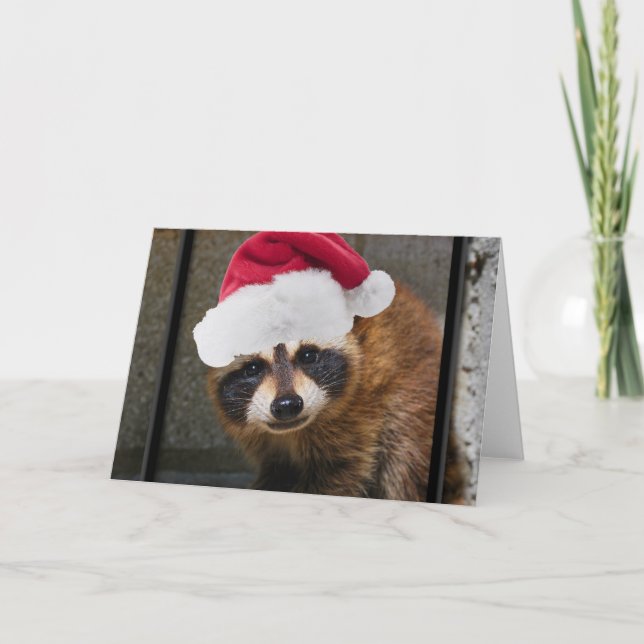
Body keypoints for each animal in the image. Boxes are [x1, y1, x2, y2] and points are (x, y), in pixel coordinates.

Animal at [206, 282, 468, 503]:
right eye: (253, 368)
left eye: (308, 355)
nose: (287, 404)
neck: (292, 433)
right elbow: (277, 471)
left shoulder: (356, 415)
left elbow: (341, 473)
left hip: (414, 392)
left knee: (403, 461)